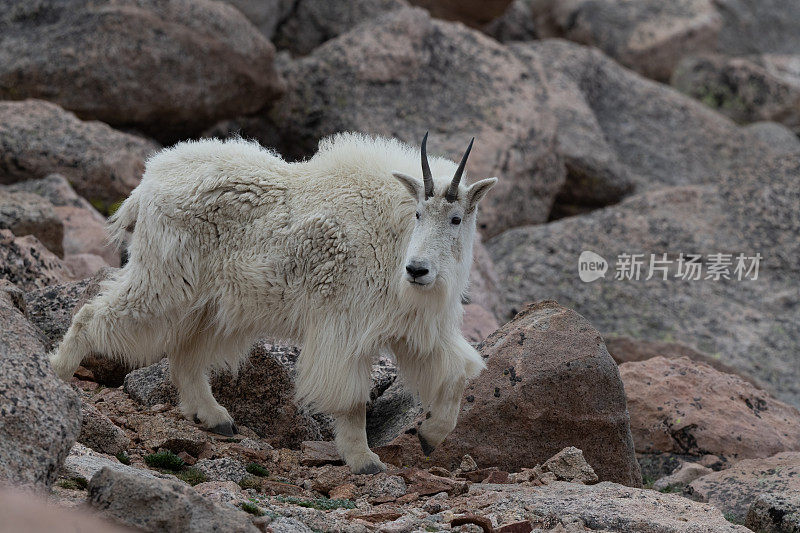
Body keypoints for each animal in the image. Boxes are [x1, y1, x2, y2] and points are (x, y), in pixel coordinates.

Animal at [50, 133, 494, 474]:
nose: (417, 270)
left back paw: (214, 418)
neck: (395, 236)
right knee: (93, 315)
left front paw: (431, 436)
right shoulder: (346, 322)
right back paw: (56, 373)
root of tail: (145, 185)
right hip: (165, 280)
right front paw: (365, 460)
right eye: (419, 213)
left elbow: (459, 372)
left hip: (209, 303)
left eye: (456, 219)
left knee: (185, 357)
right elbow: (351, 398)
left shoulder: (415, 326)